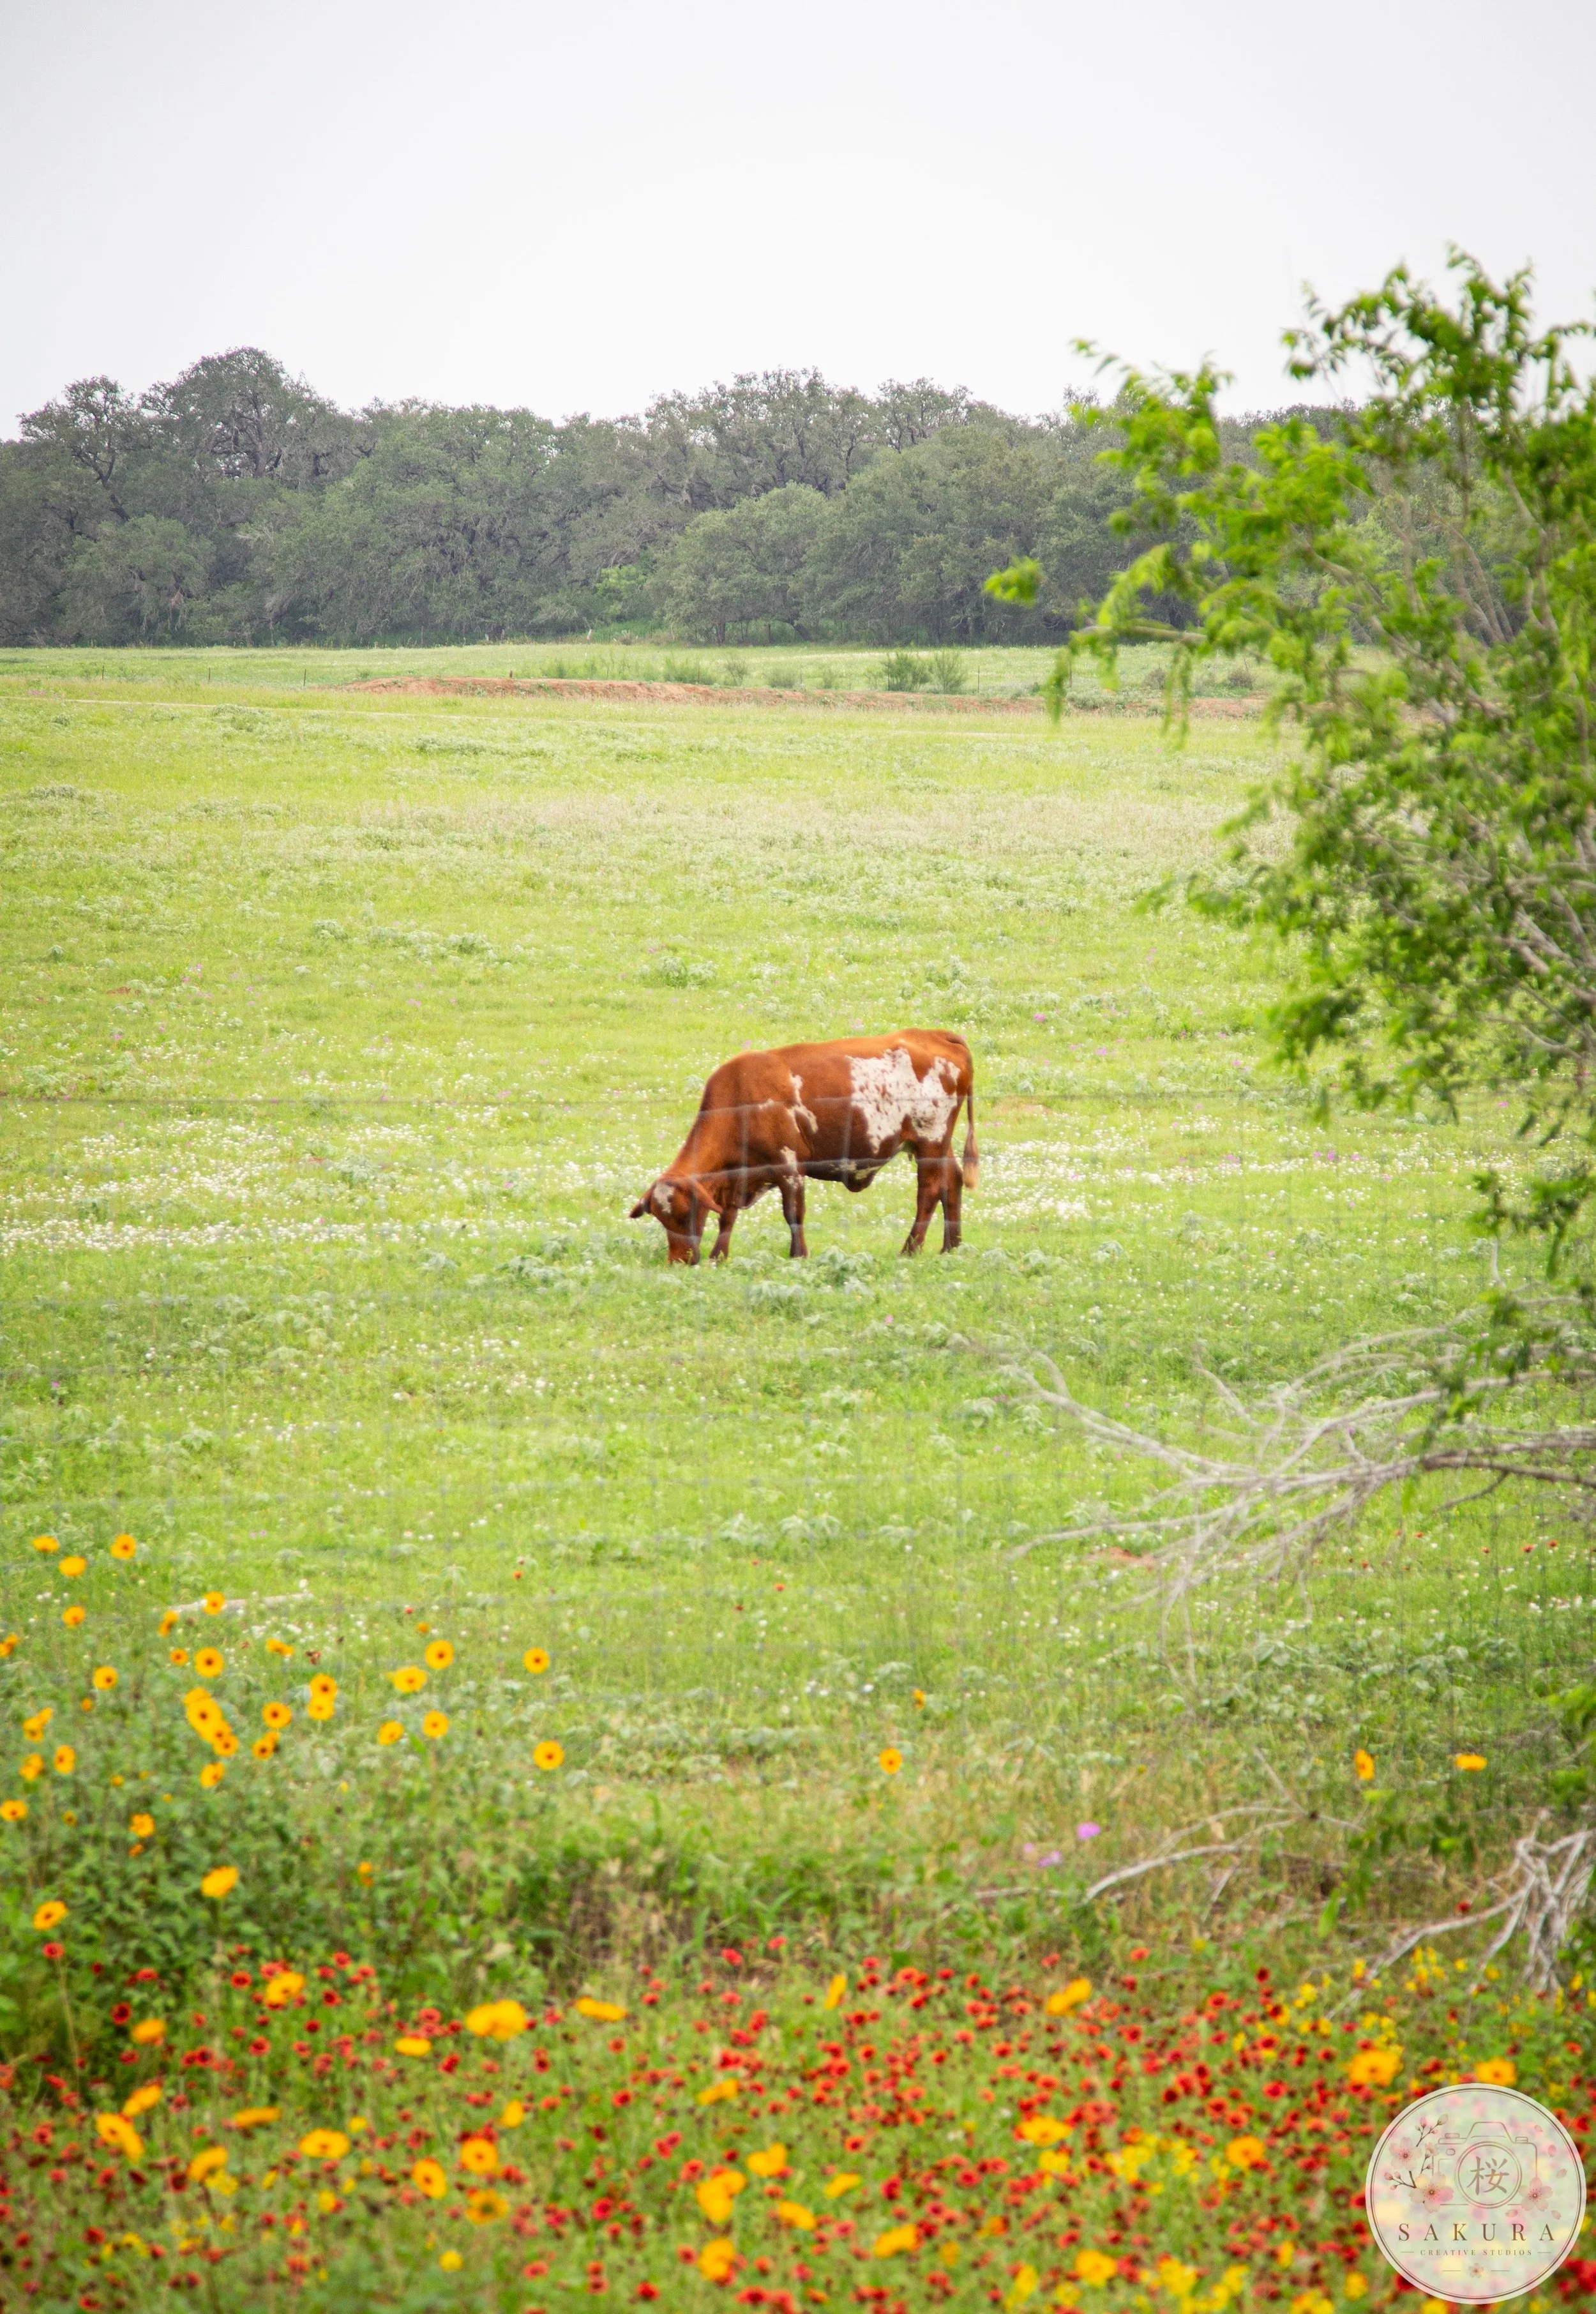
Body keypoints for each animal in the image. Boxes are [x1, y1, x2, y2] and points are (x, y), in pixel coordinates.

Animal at [628, 1031, 978, 1264]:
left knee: (929, 1193)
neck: (741, 1098)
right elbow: (727, 1216)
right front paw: (719, 1256)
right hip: (935, 1145)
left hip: (930, 1141)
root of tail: (934, 1035)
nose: (680, 1260)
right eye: (661, 1218)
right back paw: (952, 1247)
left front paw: (799, 1255)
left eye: (686, 1213)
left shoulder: (789, 1167)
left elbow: (793, 1213)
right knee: (953, 1182)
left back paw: (911, 1249)